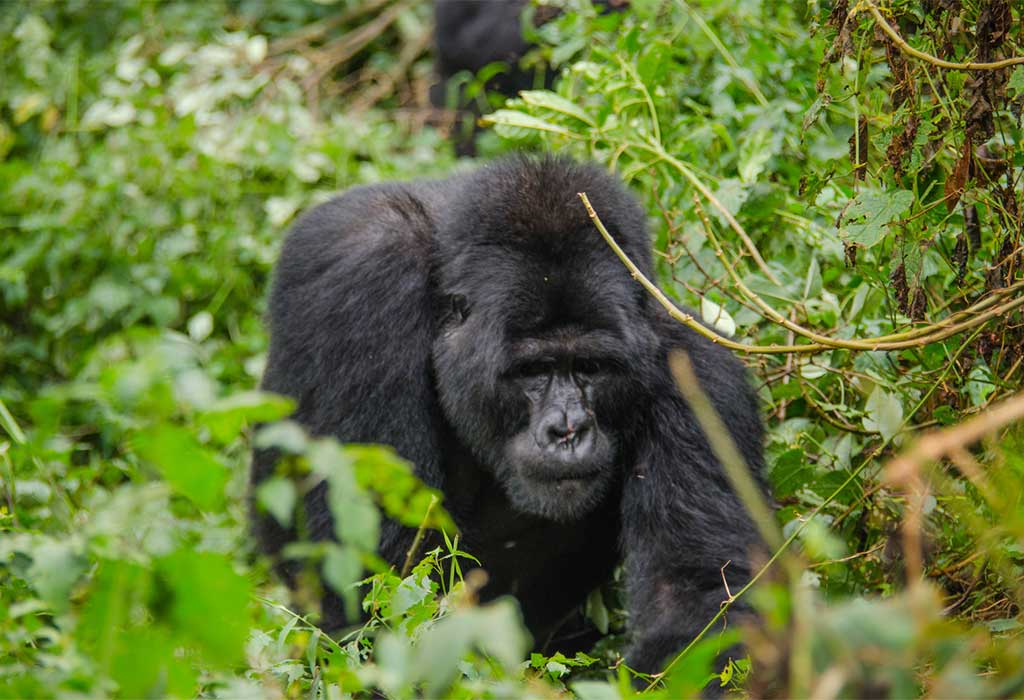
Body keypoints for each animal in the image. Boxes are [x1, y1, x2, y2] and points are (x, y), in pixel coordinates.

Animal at [251, 155, 765, 679]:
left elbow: (695, 598)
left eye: (591, 367)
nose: (567, 430)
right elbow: (380, 585)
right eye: (532, 370)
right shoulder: (362, 282)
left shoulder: (696, 368)